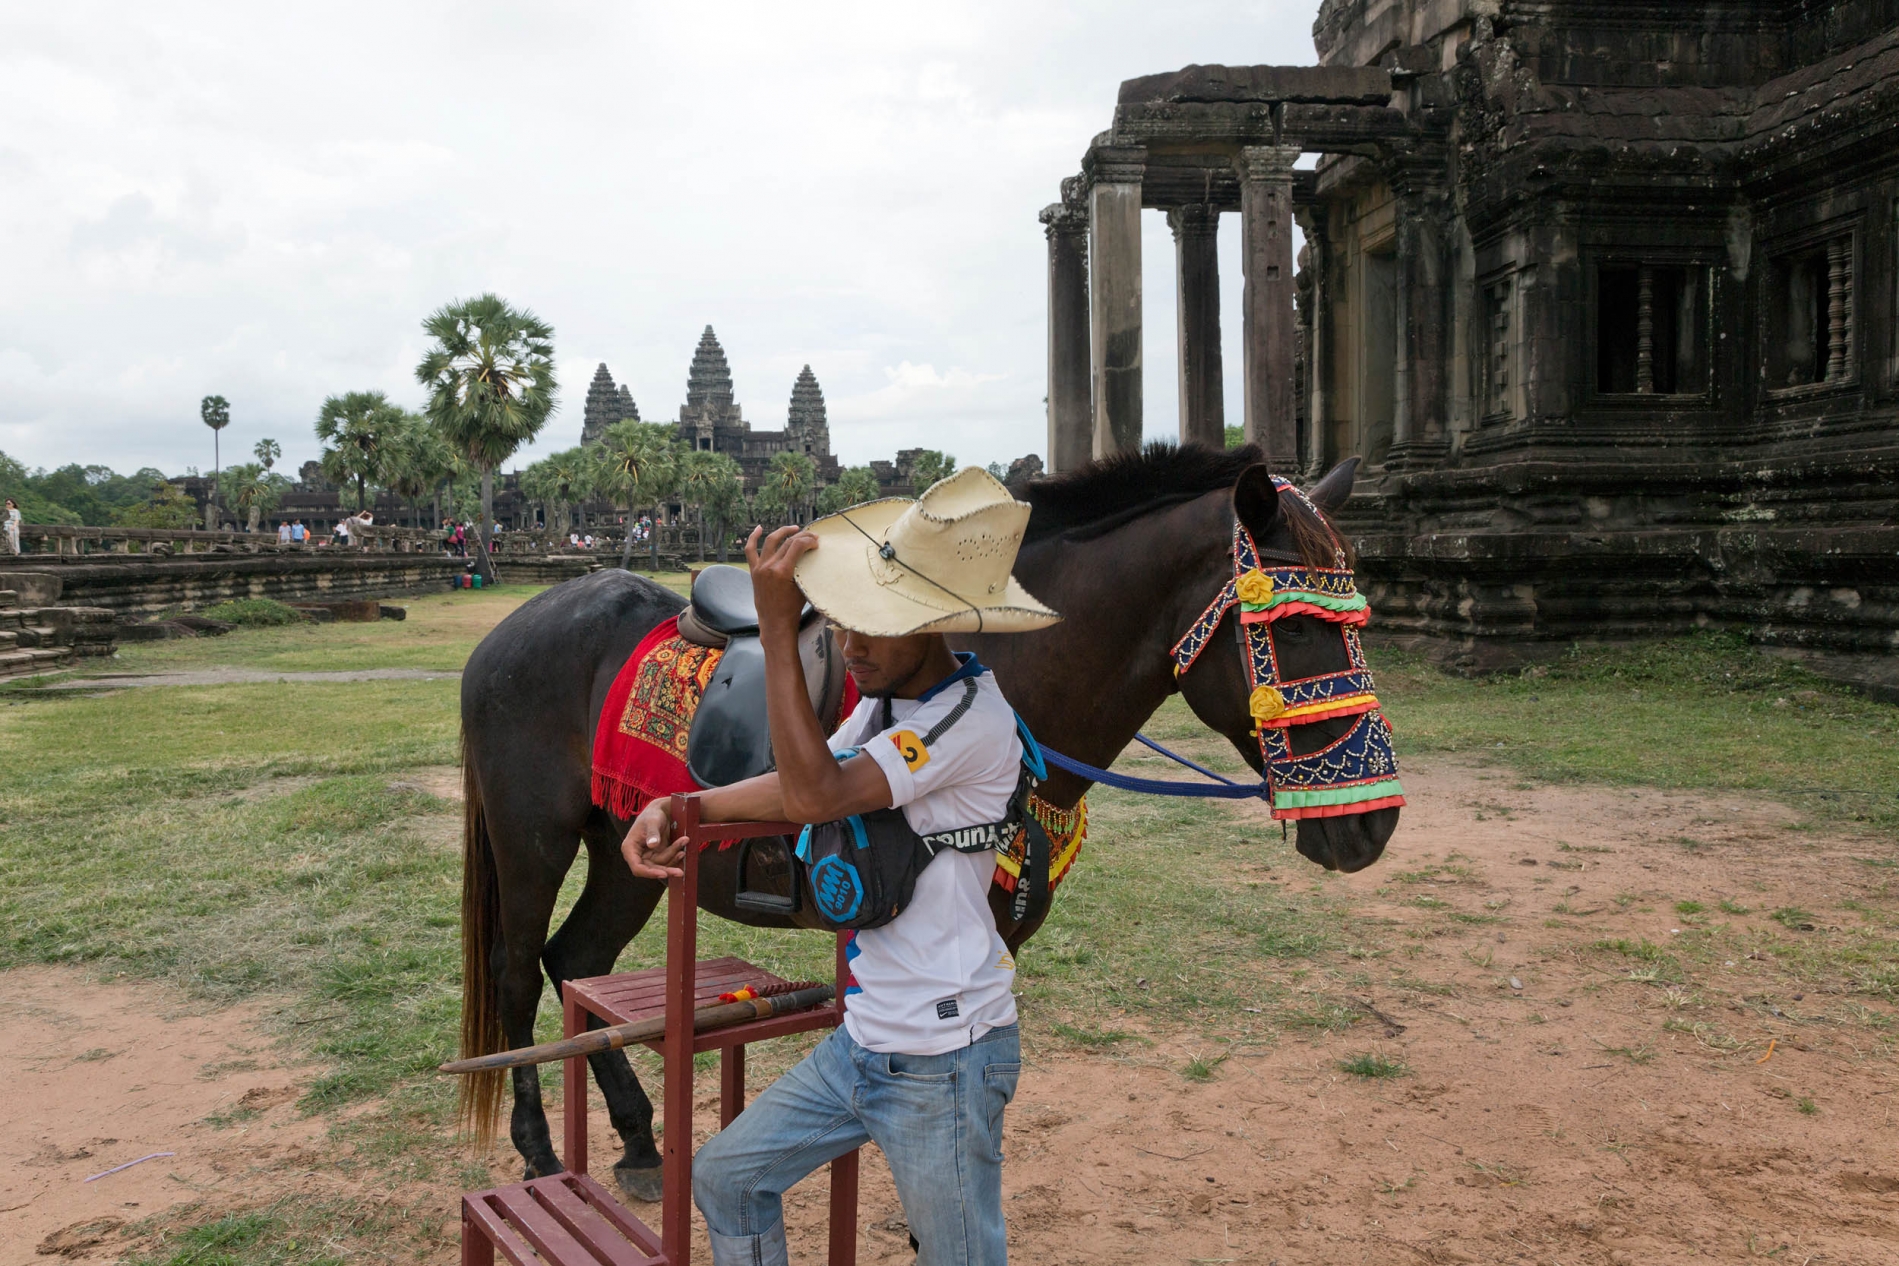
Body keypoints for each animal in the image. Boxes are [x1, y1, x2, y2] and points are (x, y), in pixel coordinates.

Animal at [455, 446, 1397, 1199]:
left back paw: (641, 1142)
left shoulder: (992, 936)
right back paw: (539, 1153)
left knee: (578, 961)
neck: (1005, 676)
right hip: (531, 838)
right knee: (518, 971)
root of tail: (503, 636)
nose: (1371, 826)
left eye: (1358, 620)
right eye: (1291, 628)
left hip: (627, 851)